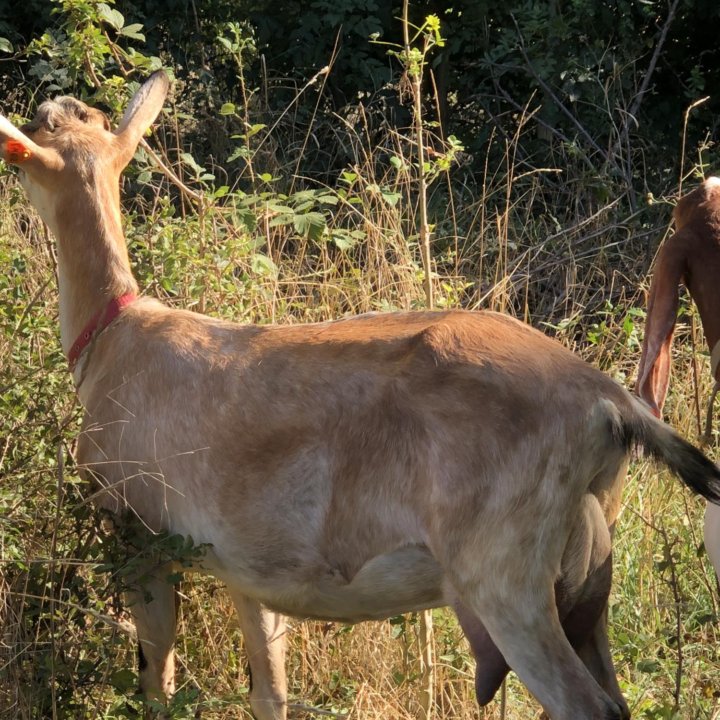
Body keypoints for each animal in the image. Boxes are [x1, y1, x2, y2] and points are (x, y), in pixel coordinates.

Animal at [1, 71, 720, 720]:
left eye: (37, 133)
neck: (116, 337)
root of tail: (608, 404)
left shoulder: (135, 533)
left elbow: (157, 684)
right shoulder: (249, 567)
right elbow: (270, 692)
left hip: (508, 582)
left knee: (587, 705)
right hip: (586, 585)